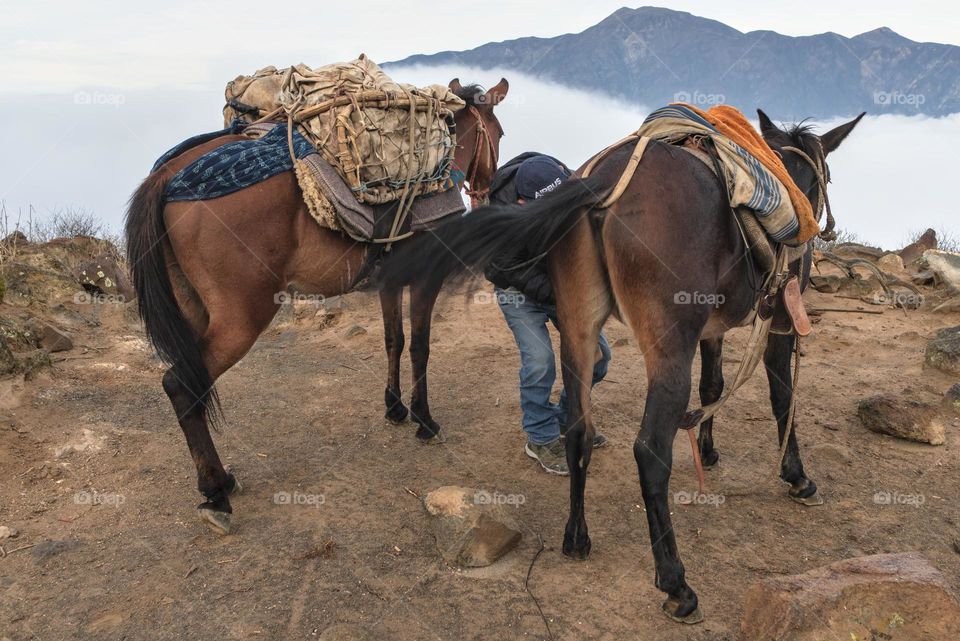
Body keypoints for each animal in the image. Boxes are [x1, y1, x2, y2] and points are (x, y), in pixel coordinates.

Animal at [127, 76, 510, 536]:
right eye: (499, 134)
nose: (489, 191)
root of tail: (165, 178)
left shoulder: (390, 279)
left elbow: (393, 340)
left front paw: (394, 407)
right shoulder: (424, 278)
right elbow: (420, 346)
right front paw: (424, 419)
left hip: (193, 310)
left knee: (192, 387)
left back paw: (221, 481)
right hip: (241, 319)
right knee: (180, 385)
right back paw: (215, 491)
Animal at [378, 109, 868, 620]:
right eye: (823, 177)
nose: (819, 230)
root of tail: (602, 184)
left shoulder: (713, 327)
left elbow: (713, 386)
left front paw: (709, 449)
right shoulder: (781, 320)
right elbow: (782, 397)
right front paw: (796, 476)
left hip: (578, 329)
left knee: (578, 427)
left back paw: (576, 537)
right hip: (669, 348)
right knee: (650, 451)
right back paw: (675, 583)